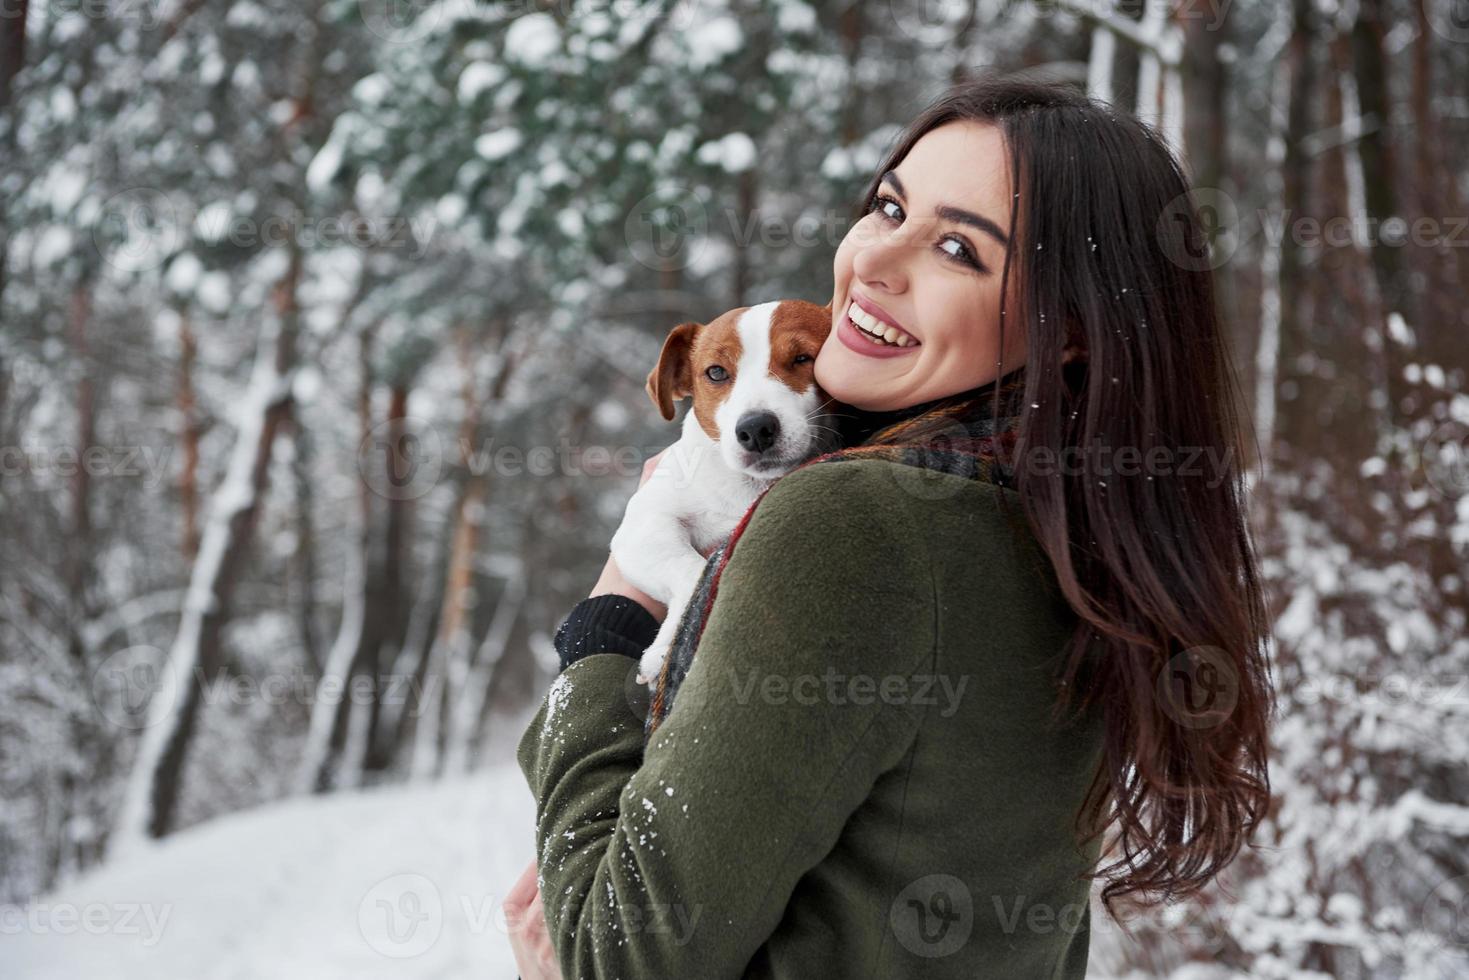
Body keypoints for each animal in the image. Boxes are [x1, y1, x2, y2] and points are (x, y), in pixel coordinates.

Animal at [608, 295, 840, 687]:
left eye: (803, 358)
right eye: (716, 372)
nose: (756, 428)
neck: (746, 487)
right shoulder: (643, 526)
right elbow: (692, 570)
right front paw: (663, 649)